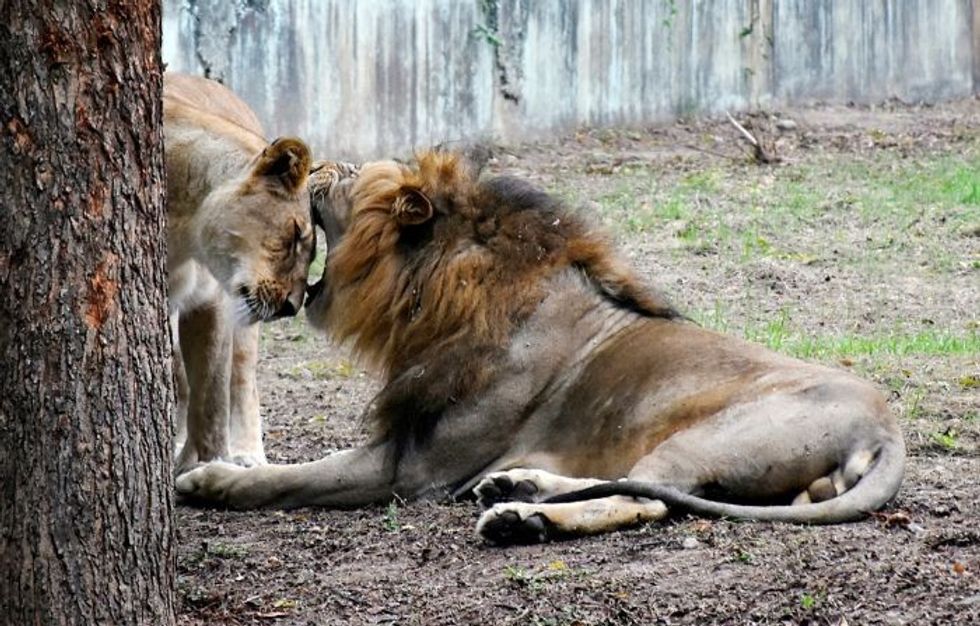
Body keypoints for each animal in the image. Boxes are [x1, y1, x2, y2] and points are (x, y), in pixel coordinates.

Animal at [164, 73, 315, 474]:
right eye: (296, 235)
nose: (292, 306)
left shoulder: (211, 301)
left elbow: (211, 396)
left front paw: (209, 465)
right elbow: (193, 387)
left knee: (243, 379)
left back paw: (247, 454)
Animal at [176, 151, 905, 545]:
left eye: (351, 177)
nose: (321, 165)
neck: (436, 301)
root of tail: (888, 428)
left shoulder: (411, 469)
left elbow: (296, 476)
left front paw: (211, 480)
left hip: (709, 437)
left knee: (650, 497)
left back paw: (519, 518)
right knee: (640, 482)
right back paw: (517, 484)